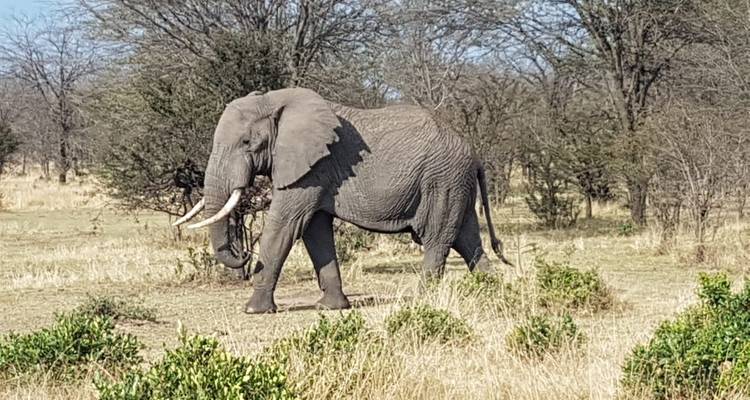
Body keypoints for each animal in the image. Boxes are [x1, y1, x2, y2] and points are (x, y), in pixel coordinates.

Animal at [174, 87, 510, 314]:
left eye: (247, 142)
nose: (243, 254)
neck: (275, 100)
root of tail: (474, 153)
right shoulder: (314, 173)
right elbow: (315, 232)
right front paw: (331, 307)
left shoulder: (311, 169)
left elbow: (285, 225)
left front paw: (254, 310)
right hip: (454, 184)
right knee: (468, 240)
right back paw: (493, 291)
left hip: (442, 181)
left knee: (438, 239)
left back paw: (422, 300)